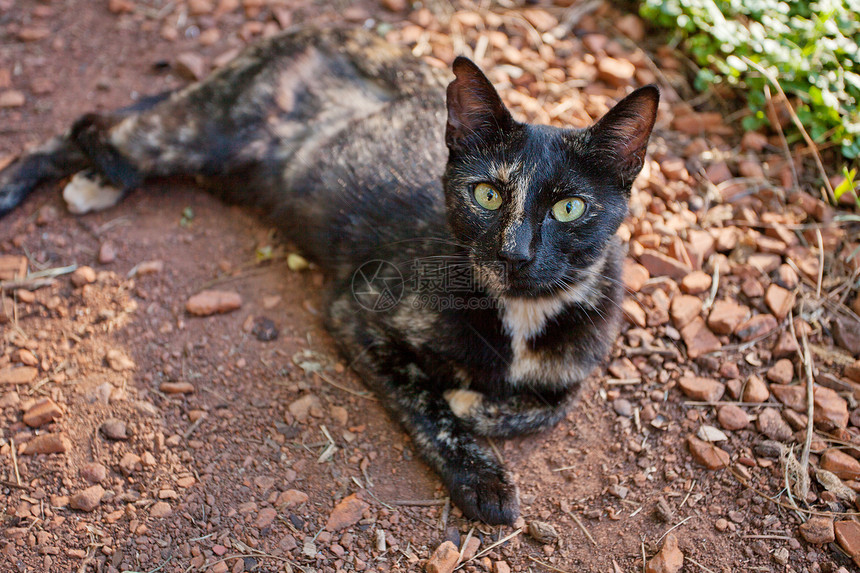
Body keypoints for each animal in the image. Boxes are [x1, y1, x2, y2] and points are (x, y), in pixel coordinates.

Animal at [0, 27, 660, 528]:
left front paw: (477, 403)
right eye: (487, 194)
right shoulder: (357, 311)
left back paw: (96, 179)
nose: (515, 253)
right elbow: (427, 401)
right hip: (193, 132)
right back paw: (52, 181)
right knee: (91, 127)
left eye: (569, 208)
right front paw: (483, 477)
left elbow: (553, 405)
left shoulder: (582, 356)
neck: (520, 314)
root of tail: (308, 28)